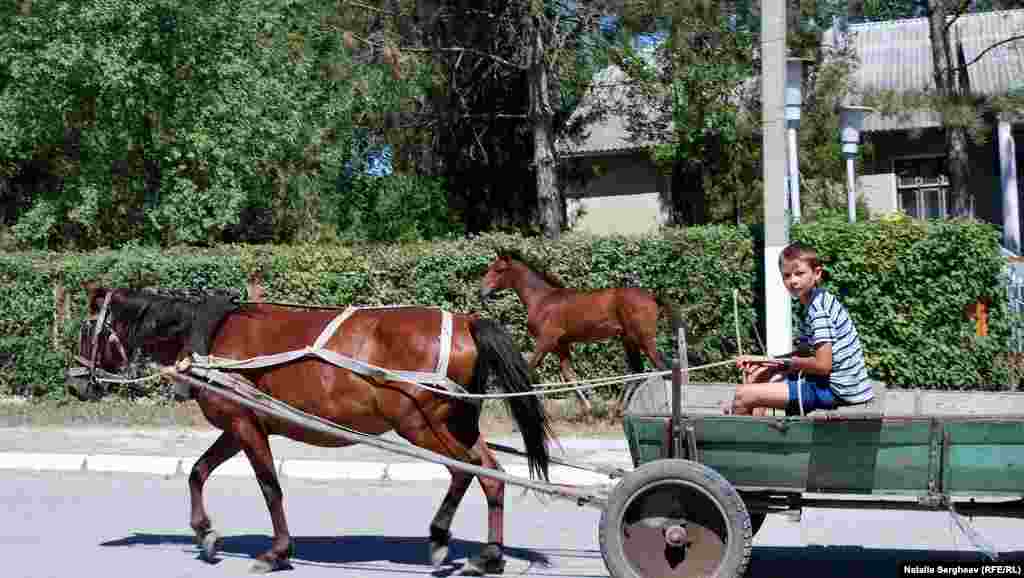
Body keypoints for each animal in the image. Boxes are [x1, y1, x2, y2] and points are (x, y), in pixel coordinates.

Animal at [477, 249, 679, 409]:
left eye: (499, 270)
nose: (482, 292)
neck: (542, 300)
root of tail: (652, 297)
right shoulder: (561, 345)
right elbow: (569, 376)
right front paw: (589, 410)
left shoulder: (546, 340)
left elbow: (529, 368)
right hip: (628, 339)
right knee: (637, 372)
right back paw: (617, 411)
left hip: (643, 339)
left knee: (662, 368)